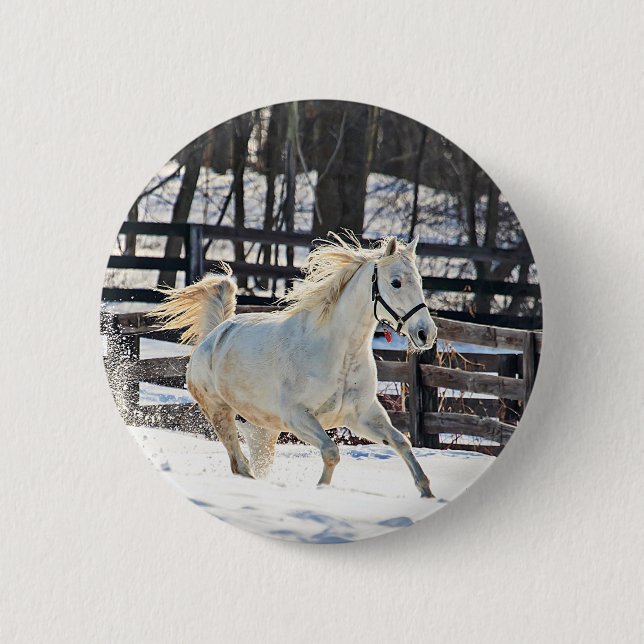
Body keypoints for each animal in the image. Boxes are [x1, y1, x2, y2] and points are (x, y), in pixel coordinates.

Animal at [151, 233, 438, 497]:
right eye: (396, 282)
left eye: (420, 281)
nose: (426, 333)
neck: (340, 354)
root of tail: (213, 336)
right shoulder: (297, 417)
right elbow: (331, 451)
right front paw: (320, 490)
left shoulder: (362, 416)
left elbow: (401, 442)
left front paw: (427, 492)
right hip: (219, 413)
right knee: (239, 465)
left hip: (262, 431)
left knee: (252, 464)